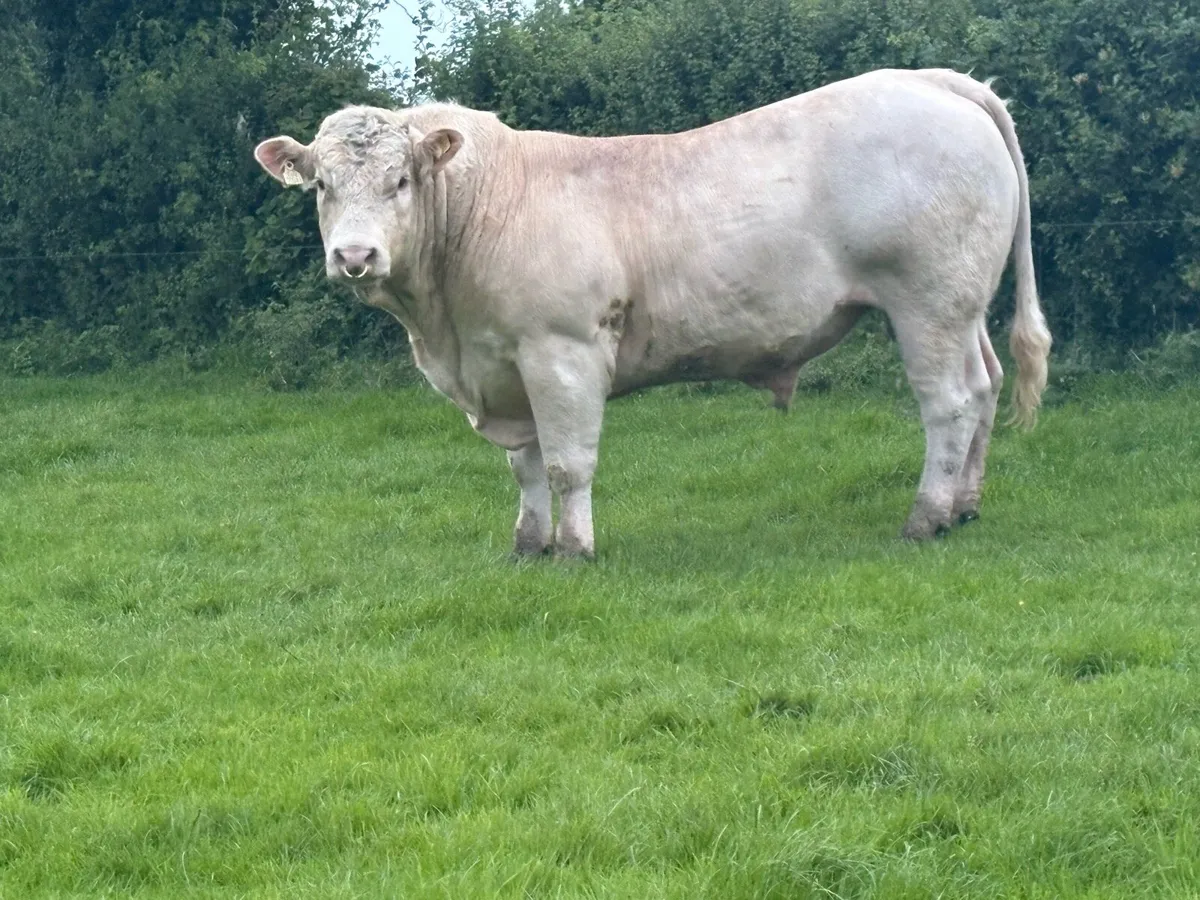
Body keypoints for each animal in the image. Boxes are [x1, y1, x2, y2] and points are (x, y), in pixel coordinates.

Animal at [254, 67, 1051, 559]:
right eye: (321, 185)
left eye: (401, 180)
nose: (355, 256)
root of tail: (933, 79)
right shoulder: (504, 366)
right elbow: (526, 466)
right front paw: (527, 545)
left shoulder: (563, 350)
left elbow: (568, 463)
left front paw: (573, 550)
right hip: (963, 306)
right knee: (984, 387)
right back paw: (966, 505)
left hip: (927, 300)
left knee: (949, 402)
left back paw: (926, 517)